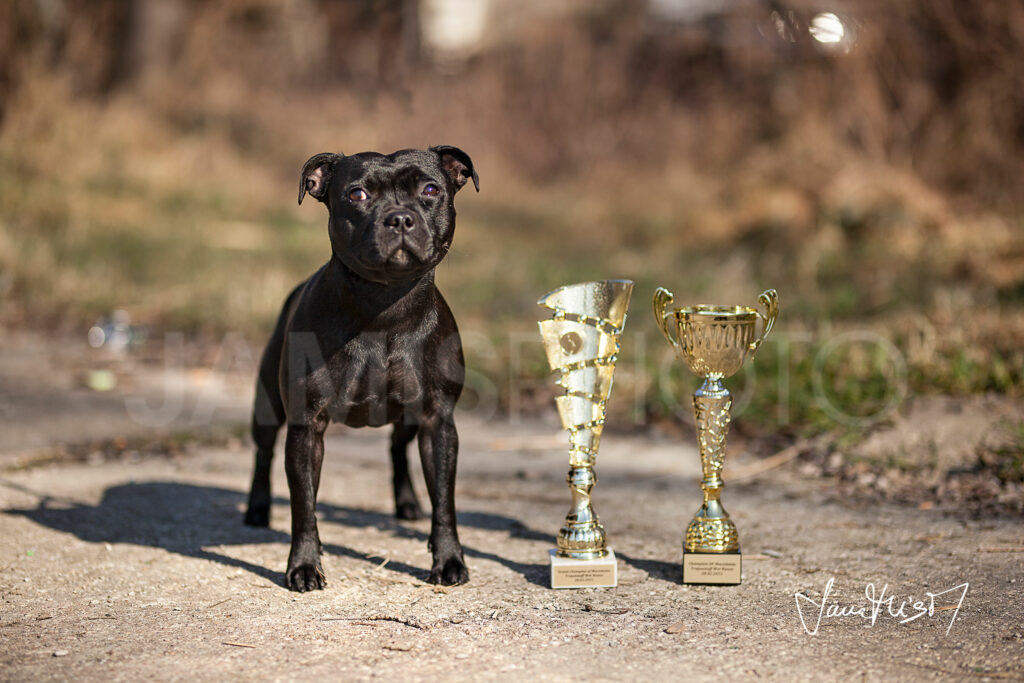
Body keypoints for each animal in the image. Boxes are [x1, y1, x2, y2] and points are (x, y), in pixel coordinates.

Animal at [243, 145, 479, 593]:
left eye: (430, 190)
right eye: (357, 195)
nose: (399, 217)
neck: (384, 307)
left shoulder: (438, 420)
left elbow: (445, 501)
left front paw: (449, 560)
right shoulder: (306, 428)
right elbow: (304, 506)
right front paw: (304, 566)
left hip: (409, 419)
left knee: (396, 448)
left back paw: (407, 503)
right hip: (267, 405)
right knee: (263, 452)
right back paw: (256, 509)